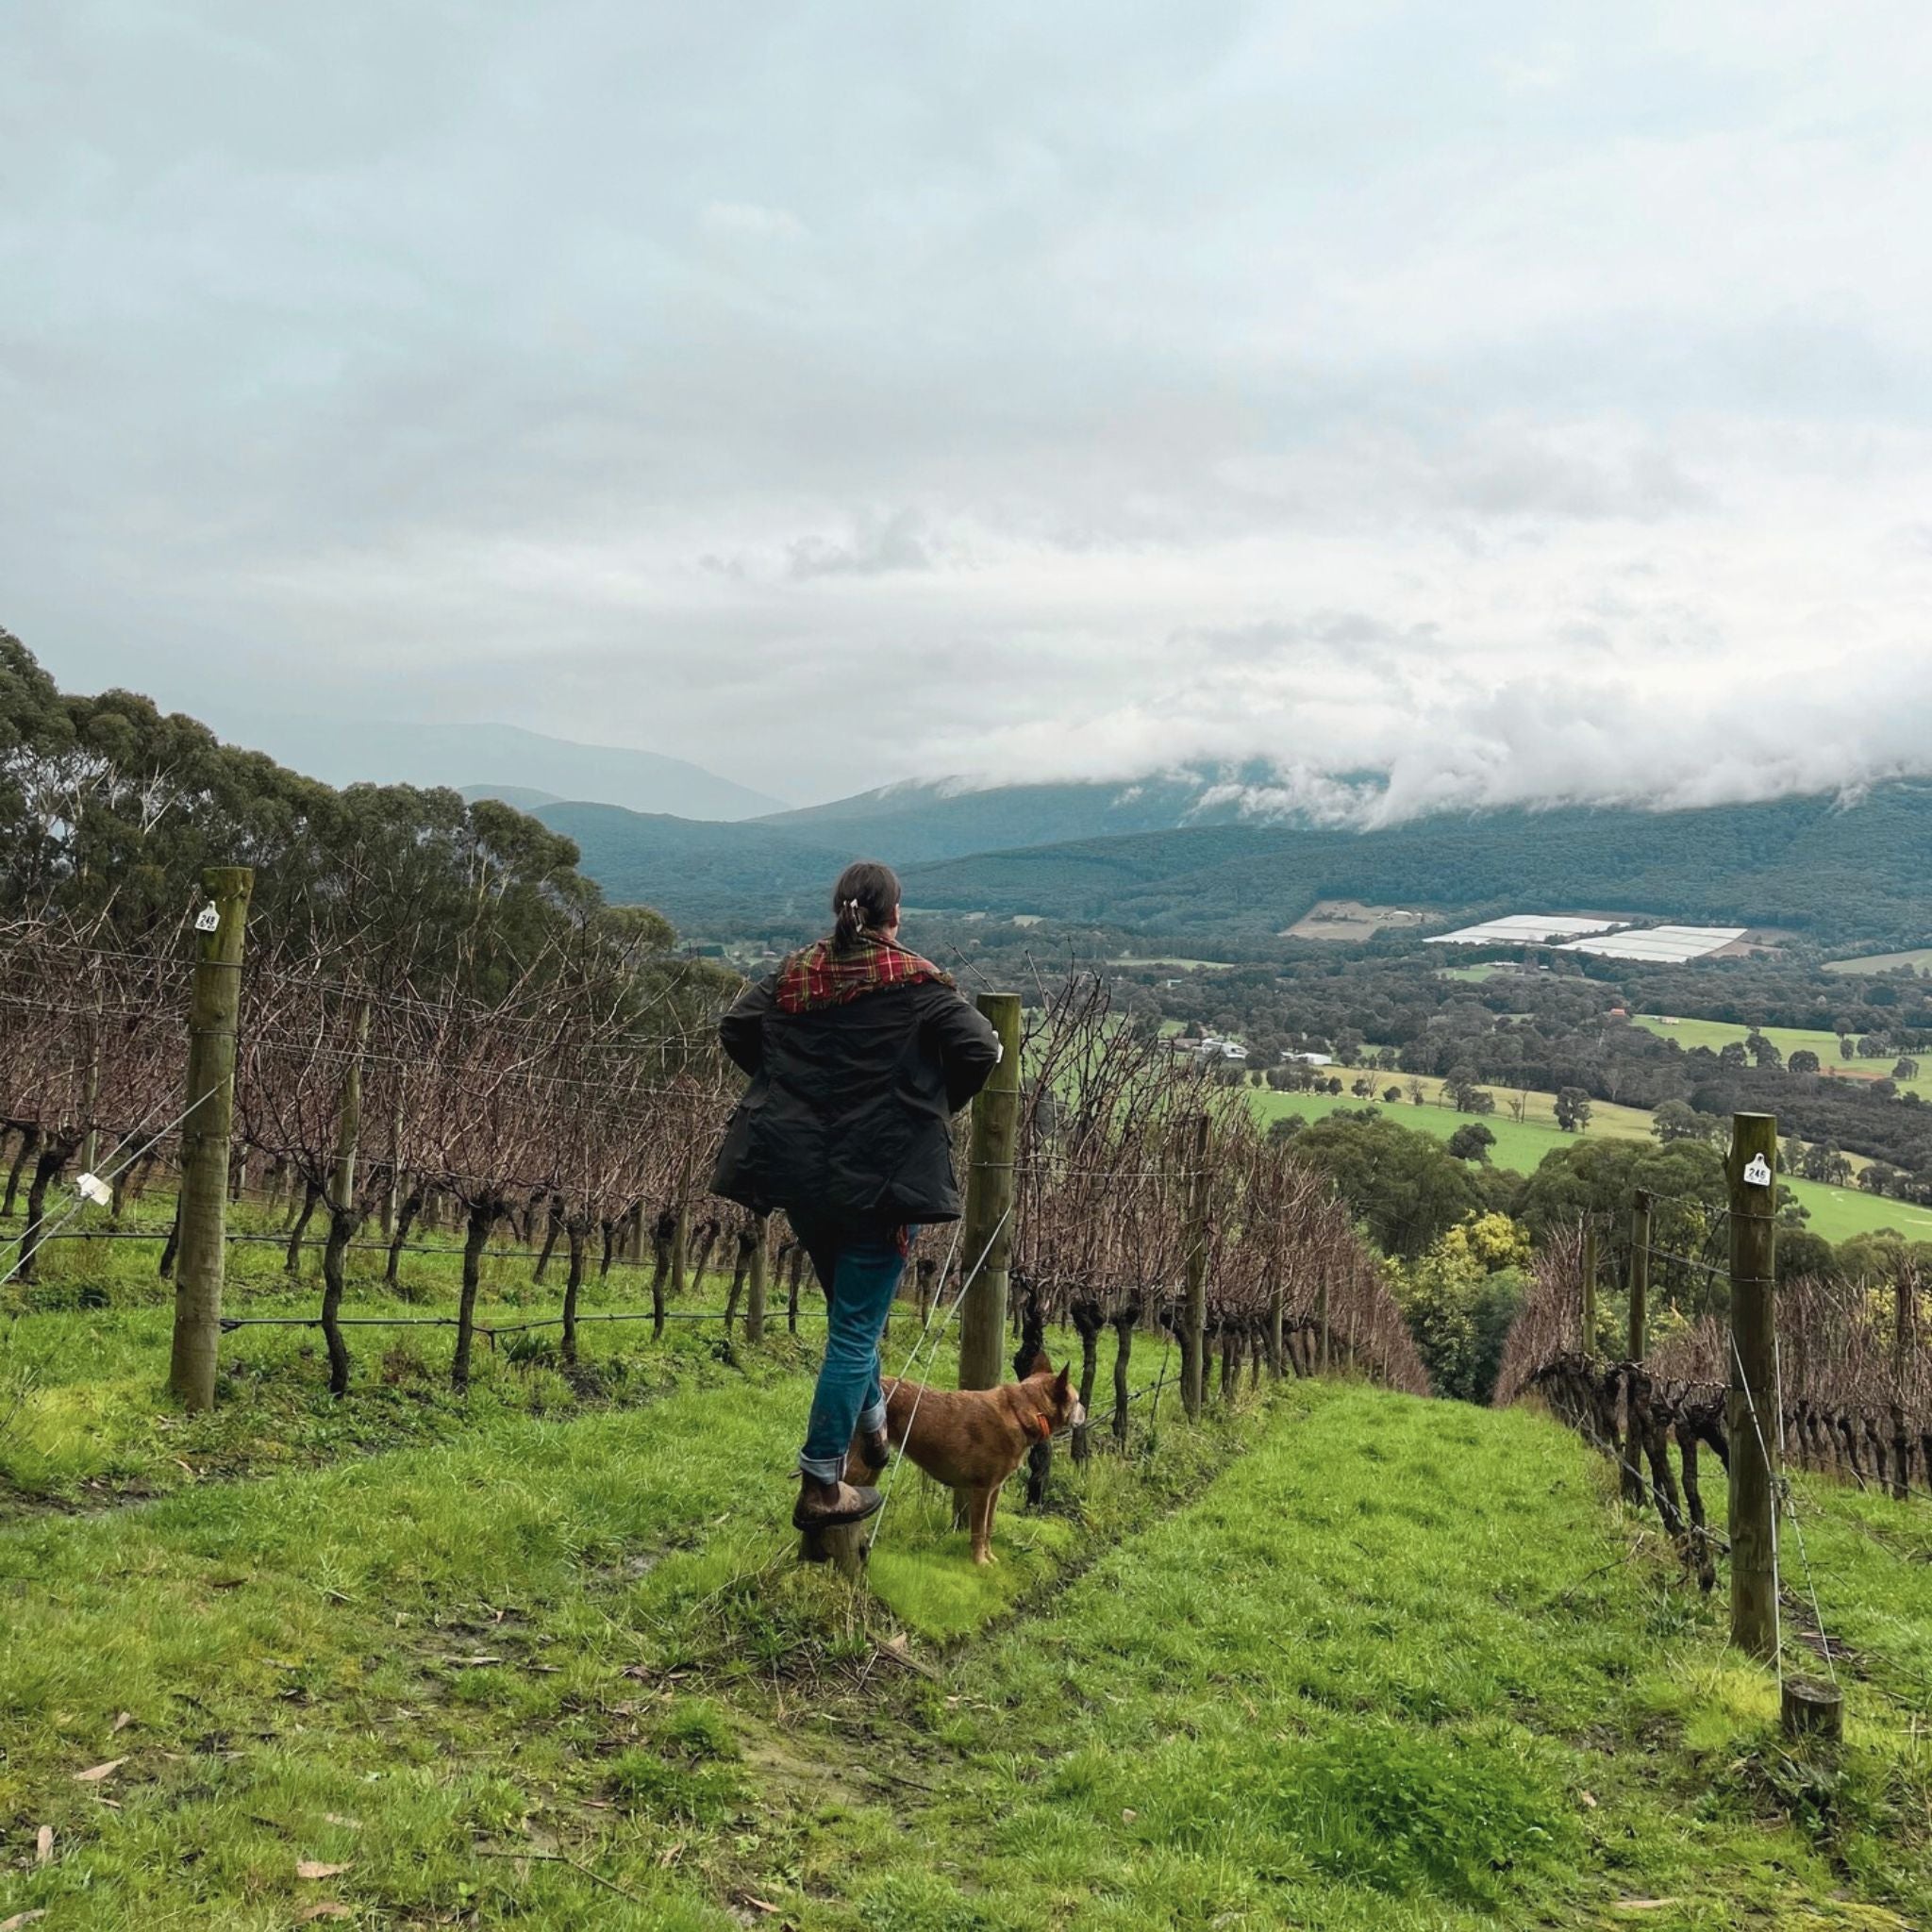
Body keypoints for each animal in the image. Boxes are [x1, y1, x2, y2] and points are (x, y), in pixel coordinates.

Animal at [850, 1352, 1090, 1560]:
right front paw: (980, 1562)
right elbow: (978, 1531)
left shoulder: (995, 1489)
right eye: (1077, 1401)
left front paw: (990, 1558)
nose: (1086, 1410)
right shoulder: (982, 1489)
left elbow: (989, 1527)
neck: (1021, 1412)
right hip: (860, 1465)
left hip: (874, 1464)